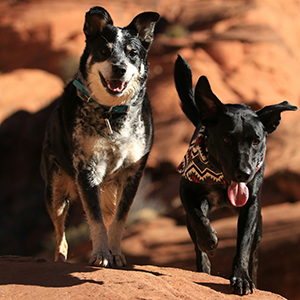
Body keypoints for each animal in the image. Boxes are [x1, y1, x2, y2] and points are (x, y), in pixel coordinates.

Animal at [41, 6, 161, 268]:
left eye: (133, 53)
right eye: (104, 51)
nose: (119, 68)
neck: (111, 112)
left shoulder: (132, 174)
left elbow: (118, 220)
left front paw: (115, 253)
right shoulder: (88, 169)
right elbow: (95, 220)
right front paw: (100, 254)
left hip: (108, 191)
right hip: (55, 188)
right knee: (60, 232)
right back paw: (60, 258)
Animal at [175, 55, 296, 294]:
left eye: (256, 141)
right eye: (226, 139)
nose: (244, 174)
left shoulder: (251, 206)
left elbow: (243, 245)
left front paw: (241, 278)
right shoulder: (187, 191)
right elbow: (198, 217)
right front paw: (209, 241)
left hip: (260, 226)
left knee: (254, 255)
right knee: (196, 235)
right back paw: (204, 261)